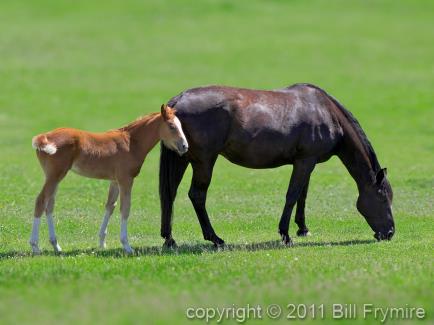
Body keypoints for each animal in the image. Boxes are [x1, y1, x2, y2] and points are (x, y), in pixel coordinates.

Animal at [29, 105, 187, 254]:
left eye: (180, 125)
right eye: (172, 126)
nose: (185, 146)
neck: (131, 143)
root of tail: (45, 136)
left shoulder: (115, 181)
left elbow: (110, 206)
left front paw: (102, 243)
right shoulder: (126, 180)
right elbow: (125, 208)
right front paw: (127, 246)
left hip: (55, 177)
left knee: (49, 205)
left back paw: (56, 246)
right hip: (55, 176)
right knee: (41, 201)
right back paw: (35, 246)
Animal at [159, 83, 394, 246]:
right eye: (383, 198)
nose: (390, 233)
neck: (326, 112)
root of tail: (178, 101)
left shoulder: (306, 163)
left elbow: (302, 195)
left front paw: (302, 229)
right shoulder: (305, 161)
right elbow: (292, 195)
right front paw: (286, 234)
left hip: (182, 158)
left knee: (170, 194)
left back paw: (170, 239)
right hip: (205, 161)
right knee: (197, 195)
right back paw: (215, 238)